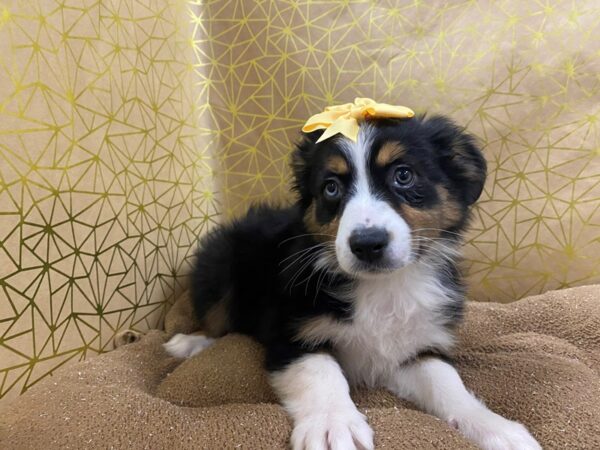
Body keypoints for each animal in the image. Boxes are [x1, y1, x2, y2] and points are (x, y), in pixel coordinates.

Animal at [163, 116, 540, 450]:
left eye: (404, 175)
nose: (368, 244)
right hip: (221, 263)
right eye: (331, 187)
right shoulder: (292, 334)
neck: (383, 286)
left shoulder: (416, 346)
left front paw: (496, 428)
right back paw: (189, 343)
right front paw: (333, 425)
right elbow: (322, 373)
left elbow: (447, 382)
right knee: (216, 319)